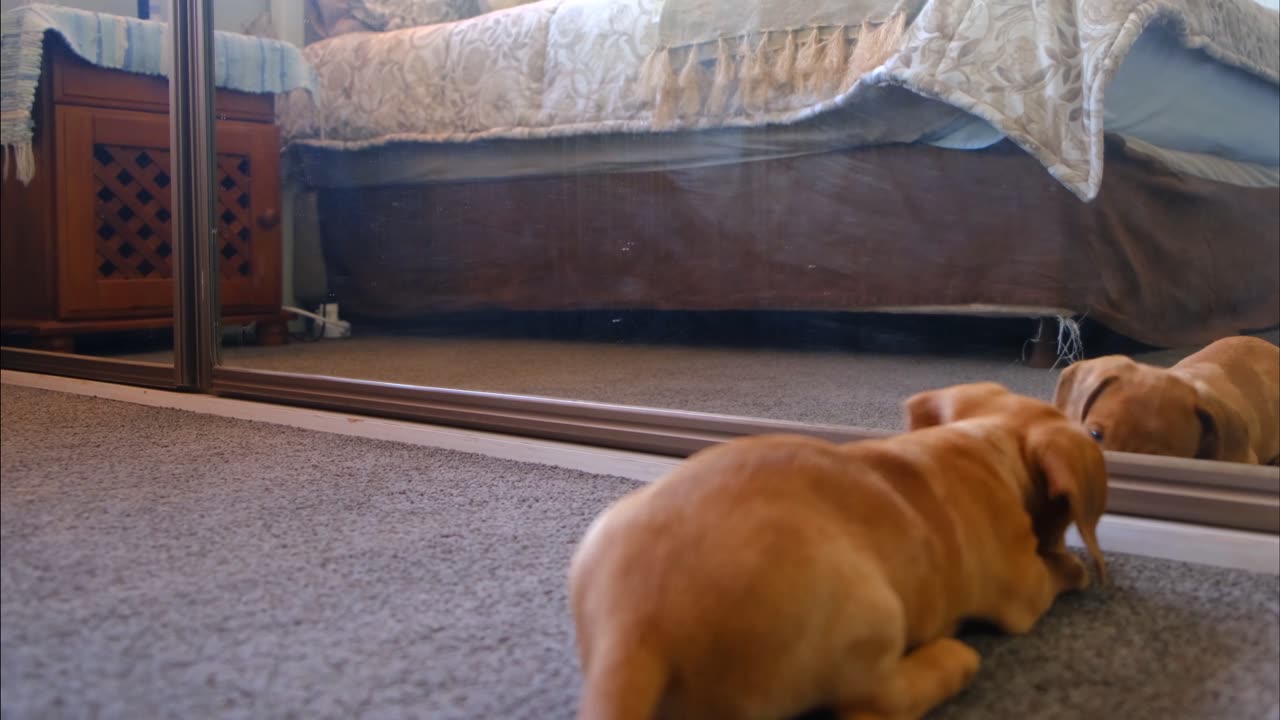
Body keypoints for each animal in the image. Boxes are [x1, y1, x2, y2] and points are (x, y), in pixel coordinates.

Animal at [565, 381, 1105, 717]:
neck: (980, 443)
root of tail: (635, 626)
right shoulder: (1025, 591)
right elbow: (1056, 571)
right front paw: (1076, 565)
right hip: (874, 615)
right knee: (876, 706)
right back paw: (952, 660)